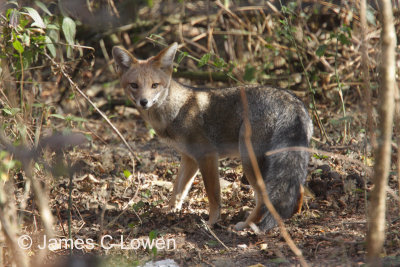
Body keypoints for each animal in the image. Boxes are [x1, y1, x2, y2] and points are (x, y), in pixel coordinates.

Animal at [111, 42, 312, 232]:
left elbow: (213, 195)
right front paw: (170, 211)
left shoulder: (207, 156)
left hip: (248, 161)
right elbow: (178, 190)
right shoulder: (189, 158)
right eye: (134, 85)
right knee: (296, 191)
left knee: (264, 198)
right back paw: (288, 216)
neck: (176, 109)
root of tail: (292, 100)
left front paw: (212, 222)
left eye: (154, 85)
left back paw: (247, 224)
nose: (143, 102)